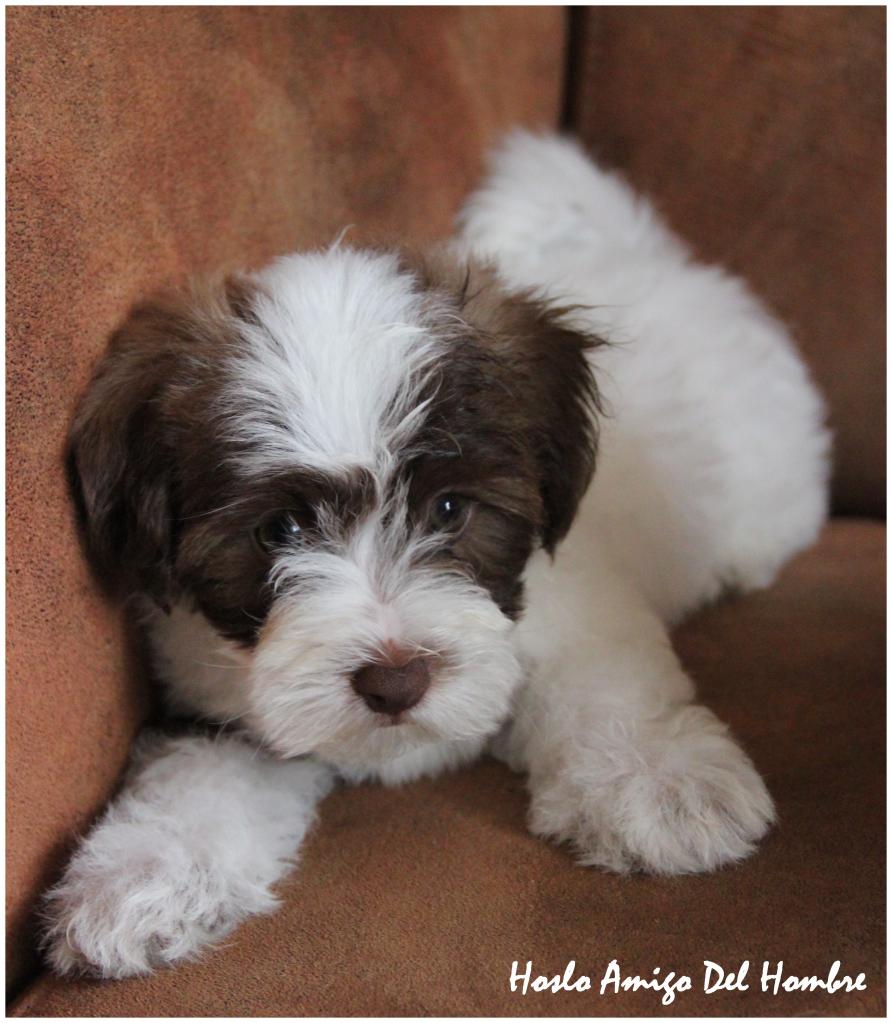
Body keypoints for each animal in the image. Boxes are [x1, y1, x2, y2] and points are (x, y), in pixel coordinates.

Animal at [43, 133, 830, 978]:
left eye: (450, 509)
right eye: (281, 530)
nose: (397, 680)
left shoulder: (576, 602)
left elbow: (605, 683)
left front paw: (659, 780)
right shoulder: (220, 688)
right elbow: (198, 771)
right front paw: (143, 870)